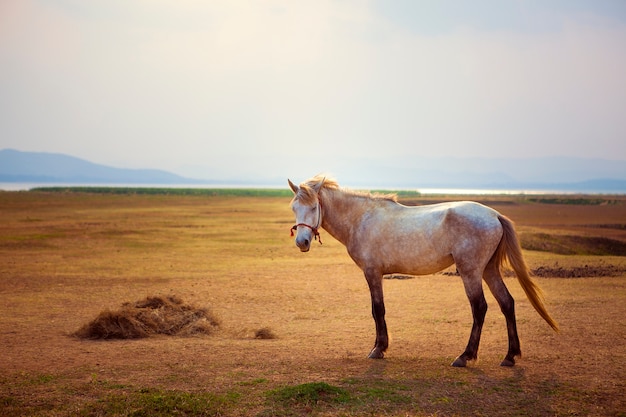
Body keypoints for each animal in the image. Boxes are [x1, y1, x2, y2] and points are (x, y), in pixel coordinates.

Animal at [288, 174, 556, 366]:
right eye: (294, 208)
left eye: (314, 207)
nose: (302, 242)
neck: (361, 218)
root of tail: (495, 215)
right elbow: (377, 311)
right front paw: (379, 346)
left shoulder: (372, 273)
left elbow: (378, 309)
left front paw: (379, 349)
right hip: (489, 270)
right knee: (507, 303)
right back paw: (510, 356)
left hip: (471, 272)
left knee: (480, 307)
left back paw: (465, 356)